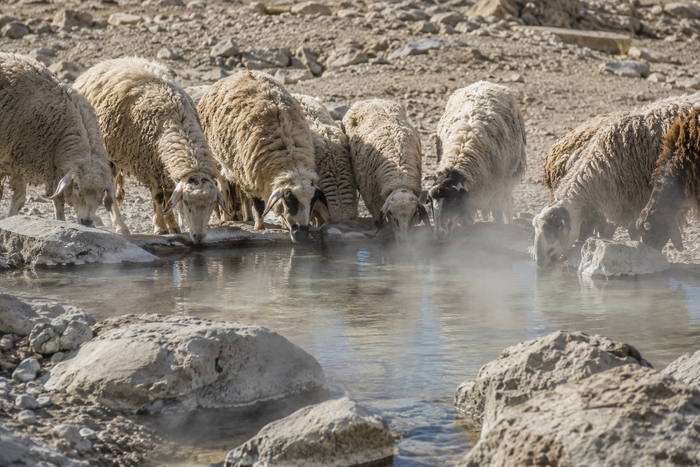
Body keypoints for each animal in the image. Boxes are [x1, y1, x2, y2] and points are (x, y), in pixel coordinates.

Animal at [0, 53, 114, 226]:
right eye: (76, 186)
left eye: (102, 192)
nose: (86, 221)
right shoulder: (18, 164)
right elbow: (19, 200)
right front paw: (11, 219)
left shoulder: (54, 171)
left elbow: (58, 201)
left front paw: (61, 221)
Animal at [74, 57, 228, 243]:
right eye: (187, 203)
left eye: (212, 204)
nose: (199, 237)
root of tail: (99, 65)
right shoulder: (150, 164)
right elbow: (159, 197)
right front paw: (160, 228)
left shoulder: (163, 167)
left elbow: (168, 197)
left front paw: (173, 226)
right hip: (107, 155)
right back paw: (120, 227)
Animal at [197, 70, 327, 243]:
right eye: (289, 200)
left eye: (313, 202)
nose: (301, 235)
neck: (290, 158)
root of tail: (240, 72)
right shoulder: (252, 179)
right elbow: (259, 205)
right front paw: (260, 227)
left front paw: (283, 225)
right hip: (220, 162)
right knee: (225, 188)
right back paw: (228, 217)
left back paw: (247, 217)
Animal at [342, 98, 429, 246]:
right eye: (392, 215)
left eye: (413, 215)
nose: (404, 244)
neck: (399, 178)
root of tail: (372, 99)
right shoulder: (370, 198)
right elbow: (378, 220)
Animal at [426, 81, 527, 242]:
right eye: (430, 202)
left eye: (453, 201)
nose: (439, 234)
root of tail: (483, 83)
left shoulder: (497, 188)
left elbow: (498, 214)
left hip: (510, 177)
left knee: (507, 205)